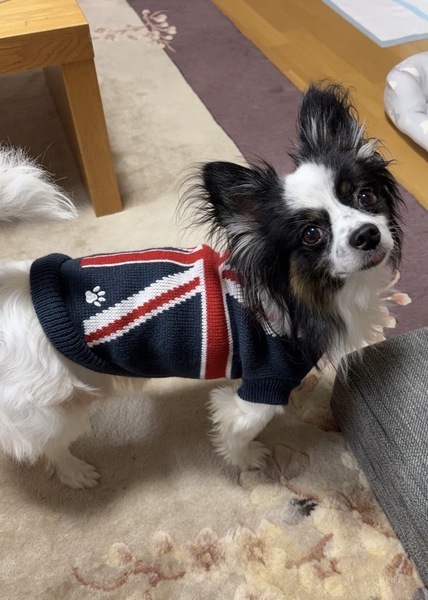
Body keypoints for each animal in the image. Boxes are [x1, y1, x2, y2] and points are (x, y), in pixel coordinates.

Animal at [0, 84, 403, 488]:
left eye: (366, 197)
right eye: (311, 234)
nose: (367, 233)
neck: (305, 295)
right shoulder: (263, 387)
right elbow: (238, 432)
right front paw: (248, 462)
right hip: (51, 413)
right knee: (49, 446)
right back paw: (75, 472)